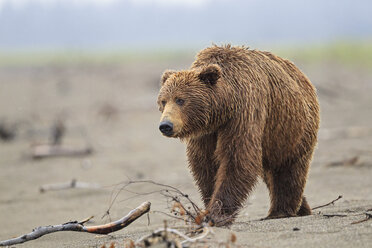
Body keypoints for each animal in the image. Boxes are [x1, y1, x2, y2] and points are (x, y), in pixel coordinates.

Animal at [157, 44, 320, 227]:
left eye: (180, 100)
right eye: (163, 101)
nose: (165, 125)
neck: (224, 107)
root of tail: (303, 77)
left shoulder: (244, 113)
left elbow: (237, 159)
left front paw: (217, 214)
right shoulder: (206, 132)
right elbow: (205, 164)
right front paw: (209, 206)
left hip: (291, 130)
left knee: (289, 169)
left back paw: (281, 211)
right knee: (270, 172)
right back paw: (302, 207)